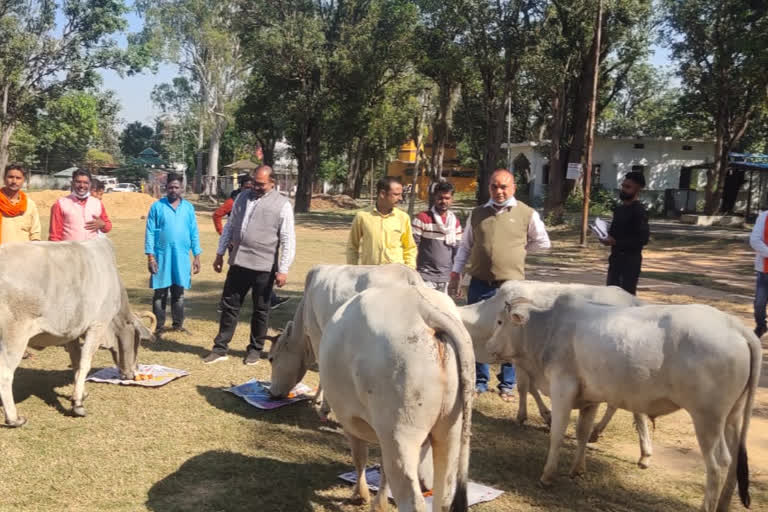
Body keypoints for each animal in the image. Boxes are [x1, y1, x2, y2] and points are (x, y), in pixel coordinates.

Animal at [318, 286, 474, 512]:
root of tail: (424, 308)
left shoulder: (351, 421)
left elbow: (360, 457)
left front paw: (360, 496)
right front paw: (379, 503)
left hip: (400, 432)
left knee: (412, 499)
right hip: (451, 430)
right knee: (444, 495)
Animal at [488, 292, 760, 512]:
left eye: (500, 322)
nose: (489, 346)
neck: (548, 329)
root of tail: (738, 327)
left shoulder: (562, 387)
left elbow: (557, 433)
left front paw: (547, 475)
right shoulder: (590, 397)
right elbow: (582, 432)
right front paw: (578, 469)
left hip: (707, 418)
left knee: (718, 464)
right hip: (732, 417)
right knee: (734, 461)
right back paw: (724, 504)